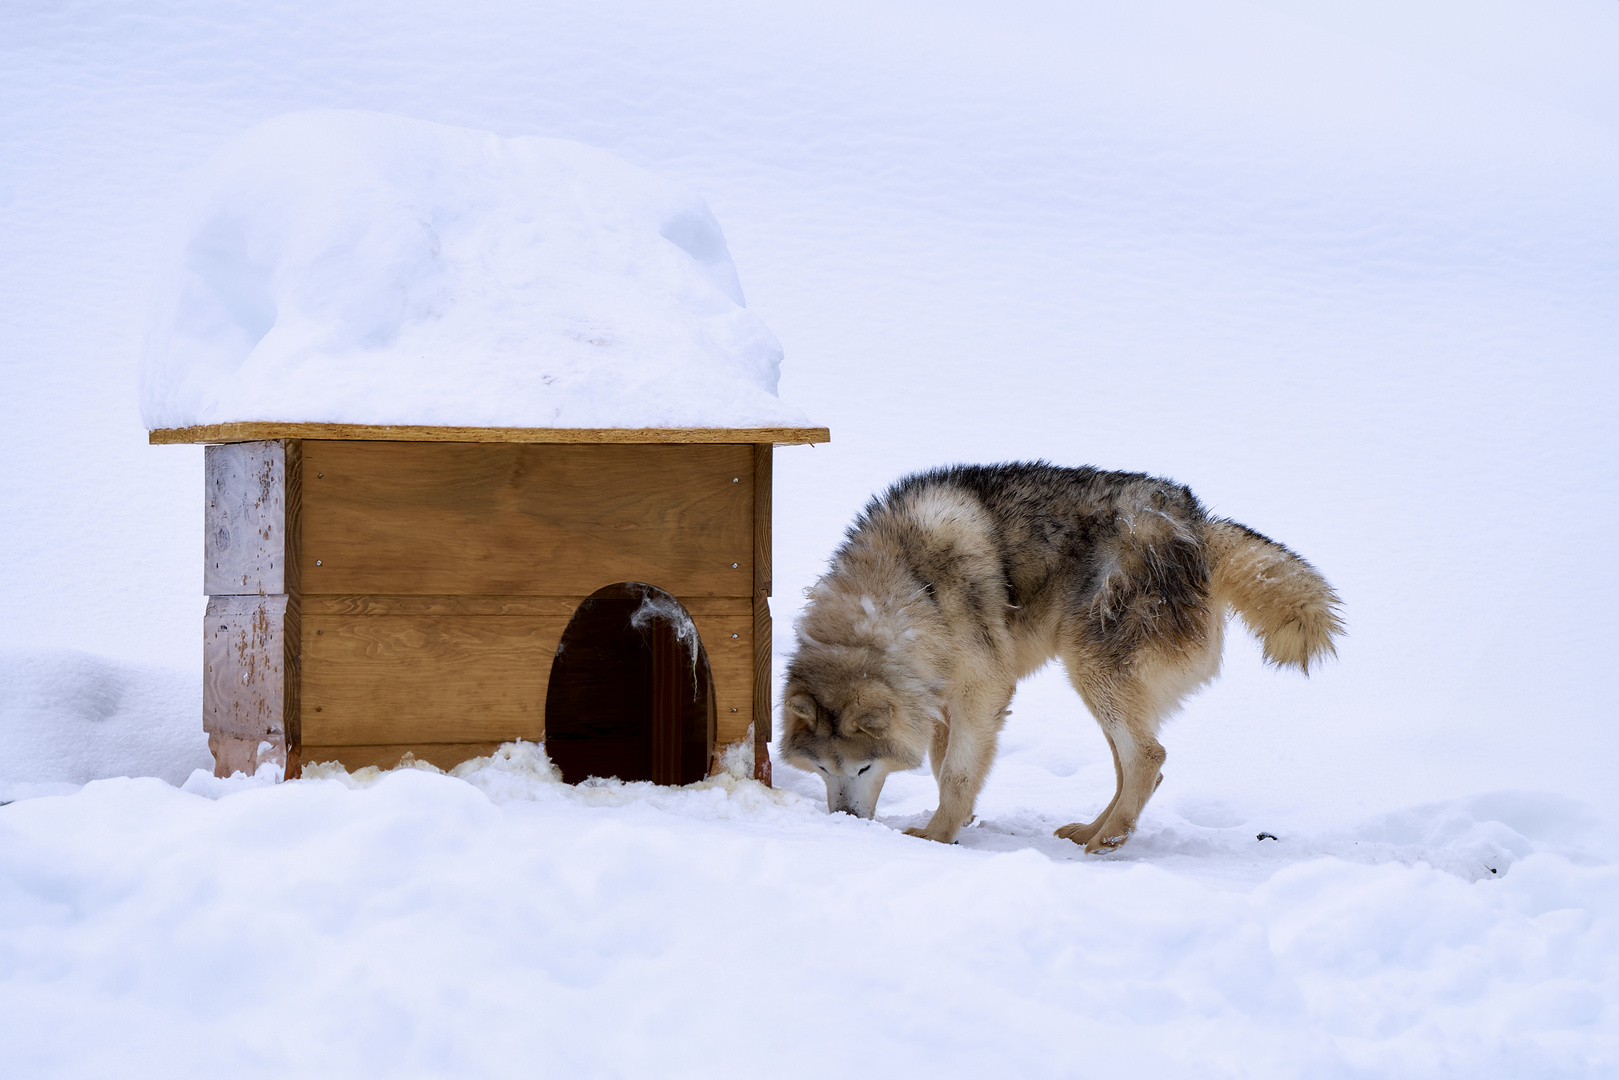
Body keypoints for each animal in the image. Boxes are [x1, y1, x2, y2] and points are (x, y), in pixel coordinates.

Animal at [773, 466, 1340, 854]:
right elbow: (942, 763)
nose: (845, 823)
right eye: (821, 768)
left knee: (1148, 757)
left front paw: (935, 836)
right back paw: (1092, 829)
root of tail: (1199, 526)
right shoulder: (939, 699)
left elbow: (955, 771)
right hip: (1101, 686)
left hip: (1089, 667)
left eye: (865, 766)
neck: (912, 585)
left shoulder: (984, 688)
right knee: (1137, 766)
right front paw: (959, 821)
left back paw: (1107, 842)